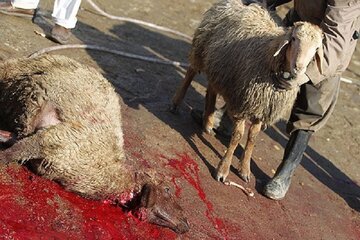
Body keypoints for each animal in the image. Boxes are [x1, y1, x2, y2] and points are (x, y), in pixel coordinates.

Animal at [169, 0, 324, 182]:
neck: (270, 58)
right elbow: (237, 136)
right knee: (191, 72)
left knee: (212, 89)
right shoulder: (242, 102)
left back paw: (208, 122)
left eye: (316, 49)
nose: (298, 68)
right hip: (201, 46)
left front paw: (244, 169)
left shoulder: (261, 108)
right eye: (293, 39)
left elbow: (252, 138)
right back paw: (176, 104)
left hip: (221, 65)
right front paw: (223, 169)